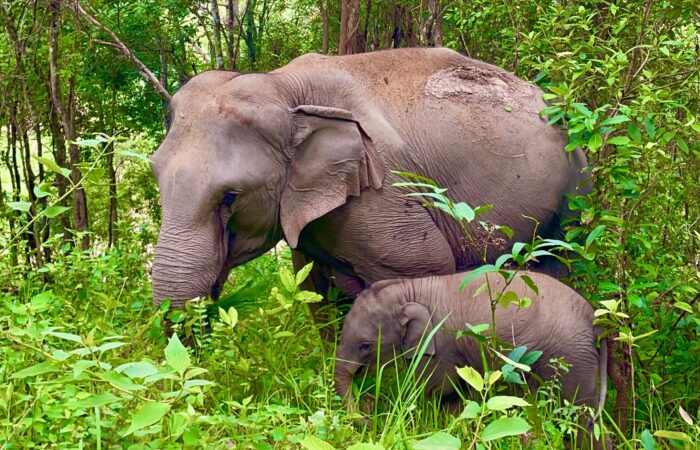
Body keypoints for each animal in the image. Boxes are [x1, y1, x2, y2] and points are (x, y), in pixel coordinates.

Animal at [150, 47, 589, 310]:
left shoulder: (383, 195)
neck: (283, 85)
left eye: (230, 197)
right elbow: (317, 289)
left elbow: (423, 270)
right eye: (155, 173)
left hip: (574, 190)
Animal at [334, 270, 608, 417]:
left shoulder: (438, 343)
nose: (368, 417)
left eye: (365, 346)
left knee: (579, 410)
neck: (408, 289)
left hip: (571, 355)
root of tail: (593, 318)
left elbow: (436, 387)